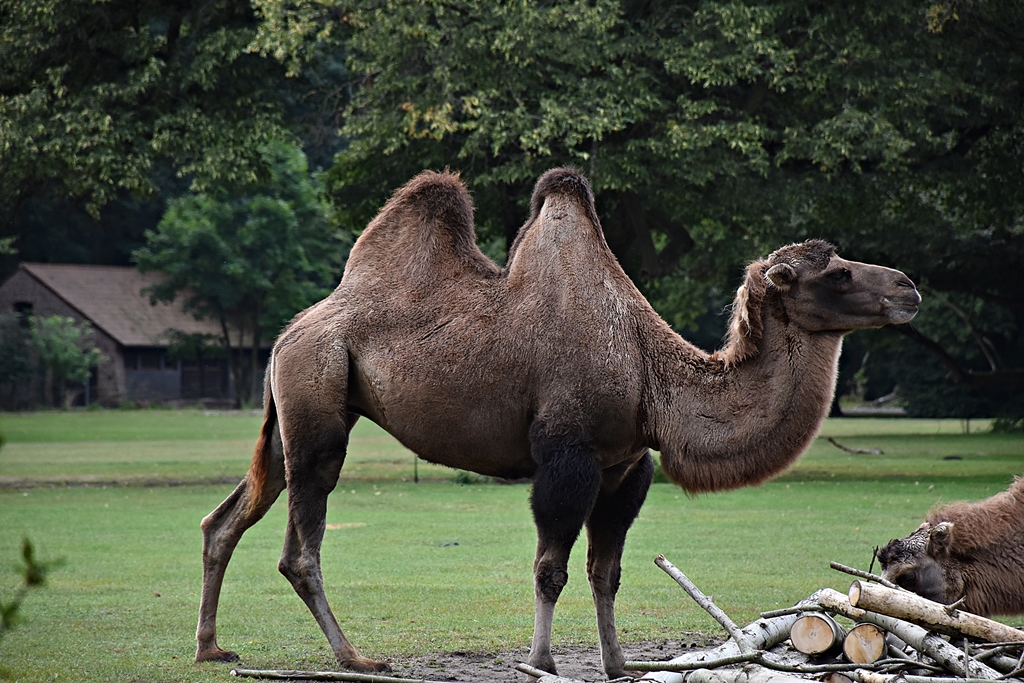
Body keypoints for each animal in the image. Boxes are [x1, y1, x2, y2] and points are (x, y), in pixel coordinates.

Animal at [195, 168, 921, 678]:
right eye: (835, 272)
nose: (908, 287)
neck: (650, 375)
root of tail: (289, 333)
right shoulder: (568, 454)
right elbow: (551, 566)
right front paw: (541, 661)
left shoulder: (626, 465)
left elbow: (607, 571)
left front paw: (619, 663)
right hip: (318, 400)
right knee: (300, 542)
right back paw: (355, 658)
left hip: (295, 409)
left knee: (227, 515)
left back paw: (211, 648)